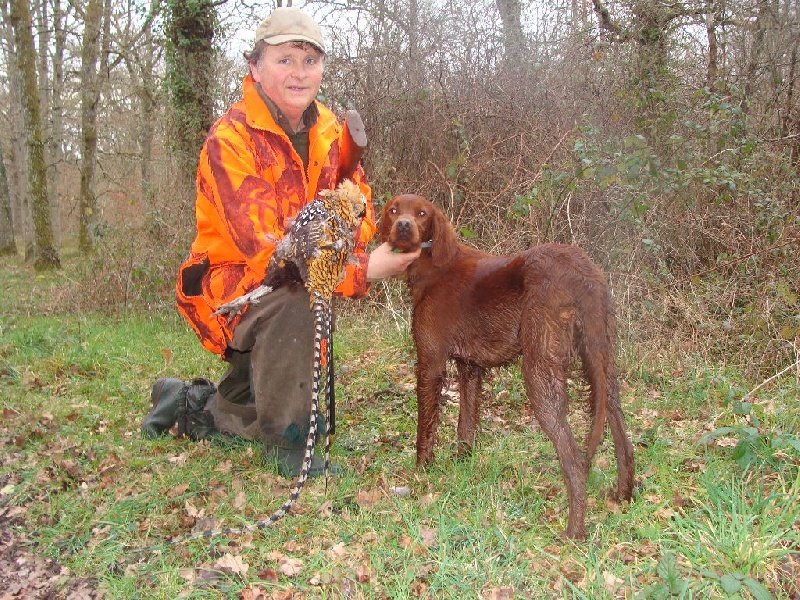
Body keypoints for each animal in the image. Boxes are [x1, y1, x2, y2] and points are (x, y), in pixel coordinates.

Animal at [382, 196, 636, 540]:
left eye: (421, 213)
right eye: (394, 210)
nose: (403, 226)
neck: (434, 265)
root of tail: (581, 271)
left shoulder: (430, 363)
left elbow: (425, 428)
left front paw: (422, 471)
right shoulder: (470, 367)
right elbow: (466, 426)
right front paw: (463, 465)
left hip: (541, 371)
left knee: (574, 459)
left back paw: (574, 532)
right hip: (601, 361)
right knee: (622, 436)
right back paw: (623, 497)